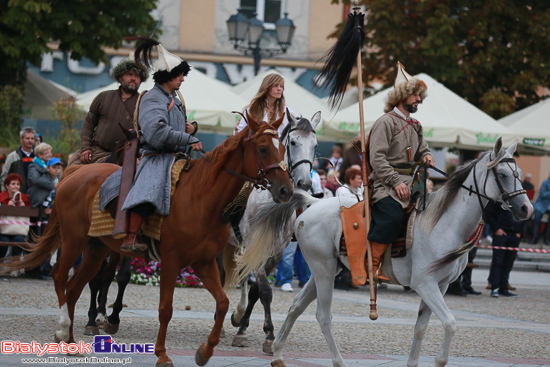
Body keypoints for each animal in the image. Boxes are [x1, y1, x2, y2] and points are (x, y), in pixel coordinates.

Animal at [7, 113, 294, 366]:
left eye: (283, 148)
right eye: (263, 148)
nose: (286, 190)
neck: (201, 198)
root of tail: (73, 173)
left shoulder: (204, 262)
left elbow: (223, 303)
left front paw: (205, 351)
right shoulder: (171, 261)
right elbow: (165, 309)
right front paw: (162, 355)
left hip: (96, 248)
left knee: (75, 286)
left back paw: (70, 342)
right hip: (74, 239)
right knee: (59, 275)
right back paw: (63, 329)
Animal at [222, 111, 322, 354]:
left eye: (315, 145)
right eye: (293, 142)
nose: (305, 182)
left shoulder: (275, 252)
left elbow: (257, 290)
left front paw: (244, 327)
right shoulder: (255, 246)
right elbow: (265, 290)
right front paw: (267, 335)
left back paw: (237, 314)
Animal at [236, 139, 536, 367]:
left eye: (518, 174)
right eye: (503, 175)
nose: (526, 209)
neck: (444, 223)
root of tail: (312, 203)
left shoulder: (439, 285)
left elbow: (420, 328)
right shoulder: (425, 284)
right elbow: (450, 324)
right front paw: (440, 359)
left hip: (326, 270)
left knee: (296, 306)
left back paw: (277, 353)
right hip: (323, 272)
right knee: (323, 316)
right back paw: (338, 361)